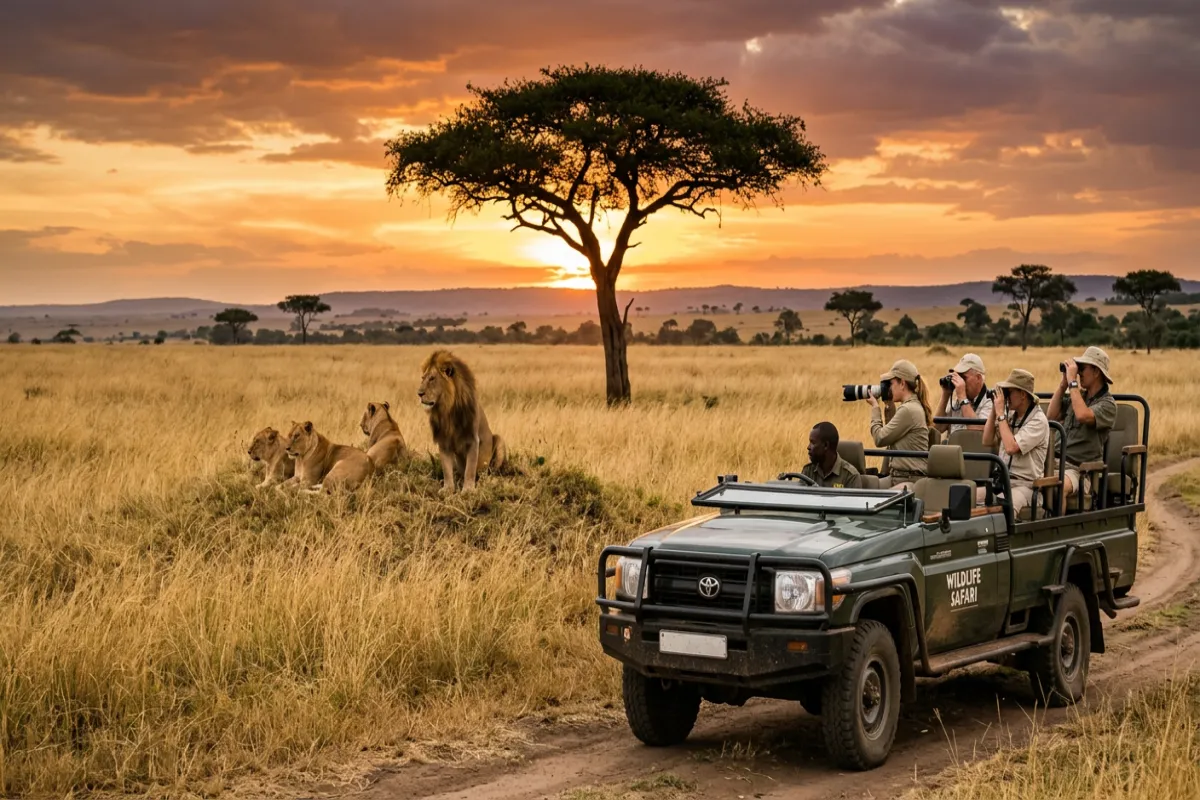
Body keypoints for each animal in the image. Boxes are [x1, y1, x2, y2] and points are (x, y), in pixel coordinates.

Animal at [418, 350, 506, 493]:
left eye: (432, 378)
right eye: (423, 378)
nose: (419, 393)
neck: (447, 410)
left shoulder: (473, 440)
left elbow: (470, 469)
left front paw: (468, 490)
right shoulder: (443, 441)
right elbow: (446, 469)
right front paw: (448, 489)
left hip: (499, 441)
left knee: (491, 471)